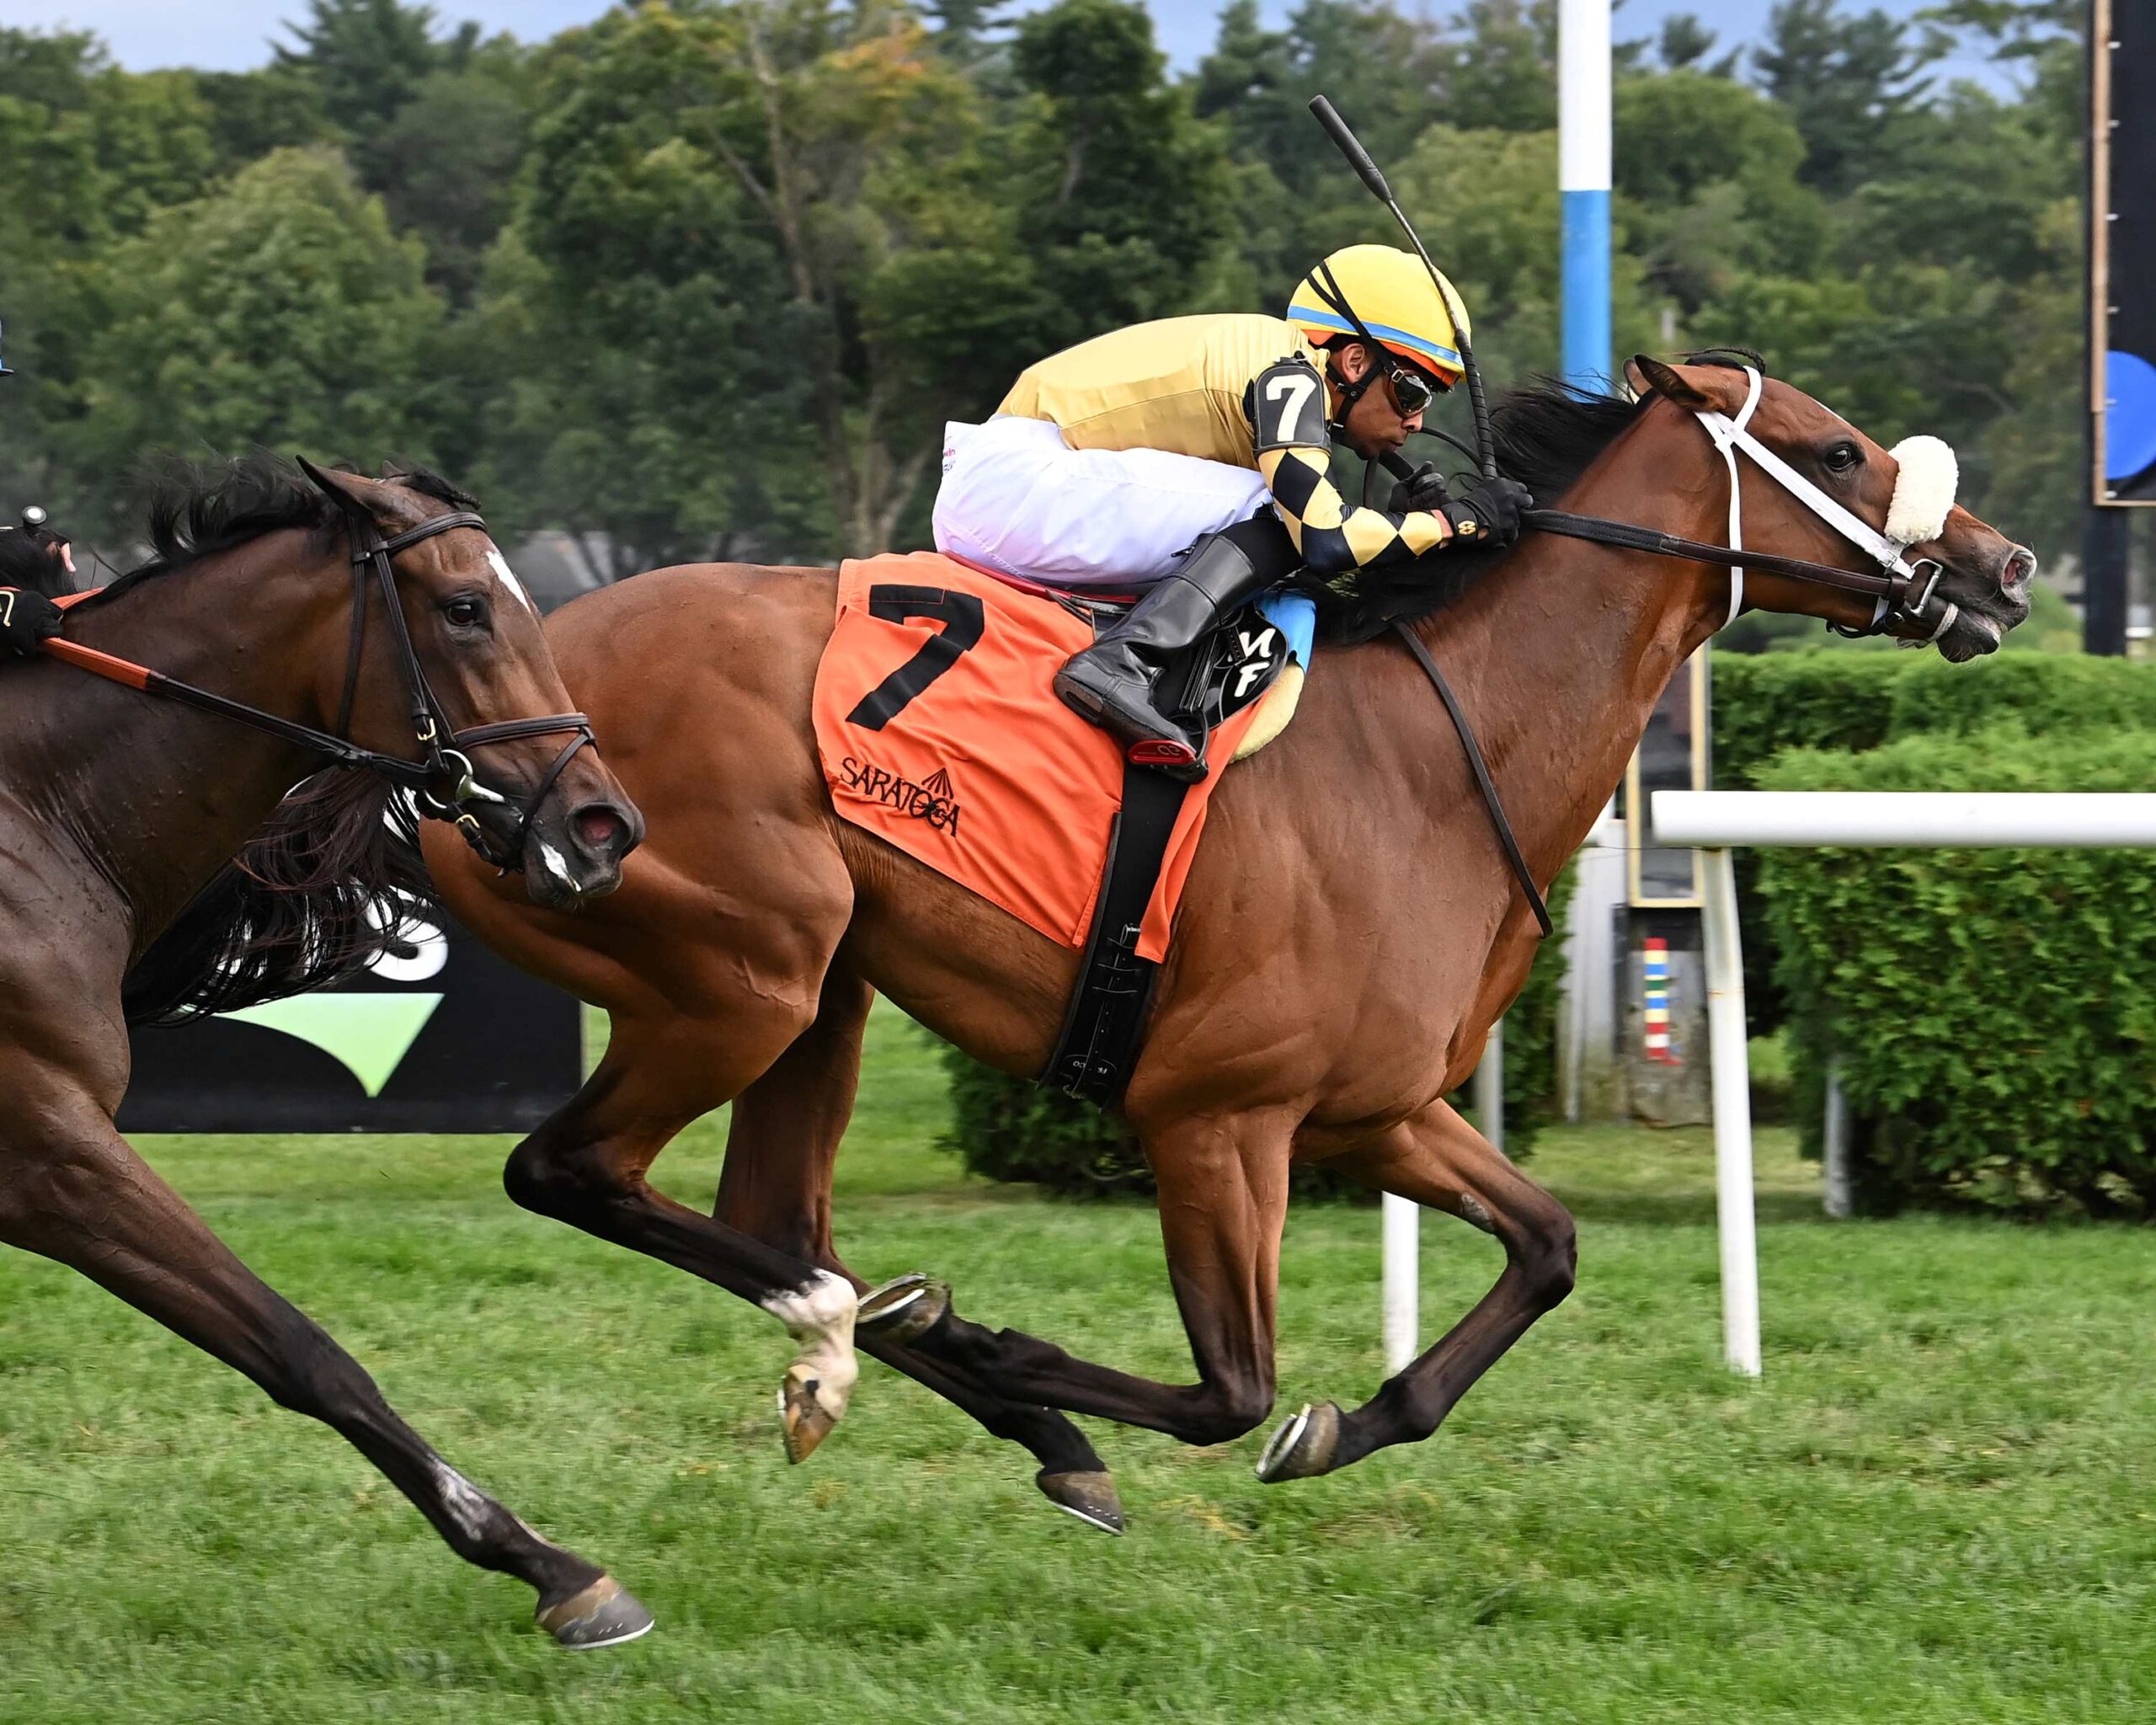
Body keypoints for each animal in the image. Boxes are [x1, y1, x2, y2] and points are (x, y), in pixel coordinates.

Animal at [0, 457, 657, 1648]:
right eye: (466, 607)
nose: (602, 826)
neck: (36, 813)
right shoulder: (50, 1149)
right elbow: (303, 1347)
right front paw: (552, 1566)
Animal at [422, 355, 2034, 1541]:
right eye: (1837, 451)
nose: (2009, 566)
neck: (1434, 758)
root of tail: (477, 726)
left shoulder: (1378, 1108)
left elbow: (1546, 1249)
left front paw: (1346, 1423)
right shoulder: (1213, 1113)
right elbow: (1231, 1389)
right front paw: (1020, 1359)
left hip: (824, 986)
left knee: (768, 1217)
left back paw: (907, 1368)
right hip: (738, 967)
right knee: (573, 1170)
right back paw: (936, 1362)